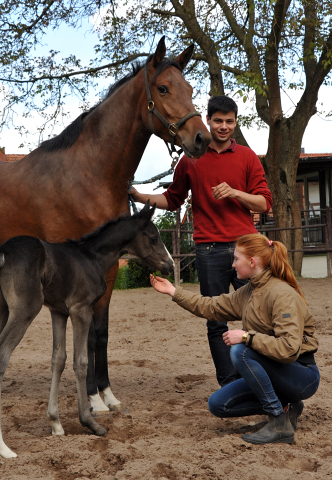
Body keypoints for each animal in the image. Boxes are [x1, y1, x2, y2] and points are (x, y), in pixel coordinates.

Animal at [0, 36, 210, 412]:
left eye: (189, 88)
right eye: (163, 88)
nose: (201, 139)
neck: (87, 173)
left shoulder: (108, 267)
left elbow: (101, 332)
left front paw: (106, 393)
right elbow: (83, 336)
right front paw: (94, 401)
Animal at [0, 202, 174, 458]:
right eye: (153, 238)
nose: (170, 265)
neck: (91, 258)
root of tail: (2, 253)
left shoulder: (58, 312)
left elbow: (58, 359)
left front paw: (55, 423)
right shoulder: (81, 310)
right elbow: (80, 362)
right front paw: (90, 422)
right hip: (24, 309)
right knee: (3, 354)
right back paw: (4, 448)